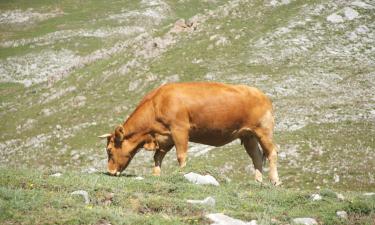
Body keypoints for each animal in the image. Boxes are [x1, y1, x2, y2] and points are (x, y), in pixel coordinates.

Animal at [98, 81, 280, 185]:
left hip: (264, 131)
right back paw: (257, 181)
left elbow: (181, 155)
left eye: (109, 150)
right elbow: (157, 157)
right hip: (248, 135)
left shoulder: (179, 130)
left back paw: (275, 181)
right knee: (256, 156)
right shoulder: (165, 137)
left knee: (272, 152)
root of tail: (261, 95)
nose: (110, 171)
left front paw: (182, 174)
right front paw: (156, 175)